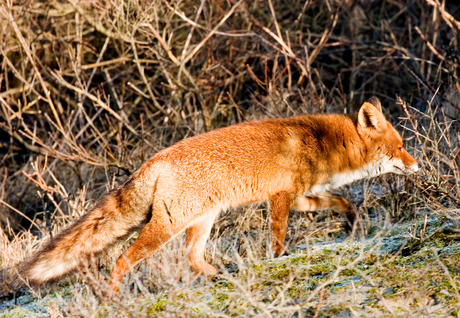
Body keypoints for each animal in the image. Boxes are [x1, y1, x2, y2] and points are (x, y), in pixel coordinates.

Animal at [12, 95, 418, 292]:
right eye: (399, 148)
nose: (416, 166)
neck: (322, 142)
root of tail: (151, 163)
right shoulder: (281, 195)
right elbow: (279, 235)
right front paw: (278, 261)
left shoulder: (300, 194)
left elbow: (340, 201)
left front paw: (352, 222)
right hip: (168, 226)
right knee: (123, 260)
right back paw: (112, 298)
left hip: (202, 220)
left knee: (192, 258)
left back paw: (221, 275)